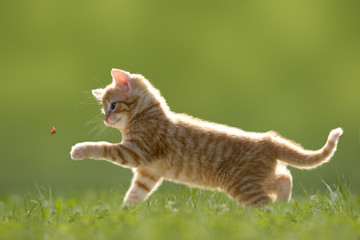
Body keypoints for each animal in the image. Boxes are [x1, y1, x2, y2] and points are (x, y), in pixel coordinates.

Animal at [70, 68, 344, 207]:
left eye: (113, 105)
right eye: (103, 108)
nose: (106, 119)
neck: (146, 115)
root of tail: (269, 140)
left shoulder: (135, 152)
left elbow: (104, 147)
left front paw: (79, 149)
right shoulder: (148, 173)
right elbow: (136, 193)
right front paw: (126, 213)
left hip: (242, 185)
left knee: (265, 204)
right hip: (259, 178)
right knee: (285, 178)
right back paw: (284, 206)